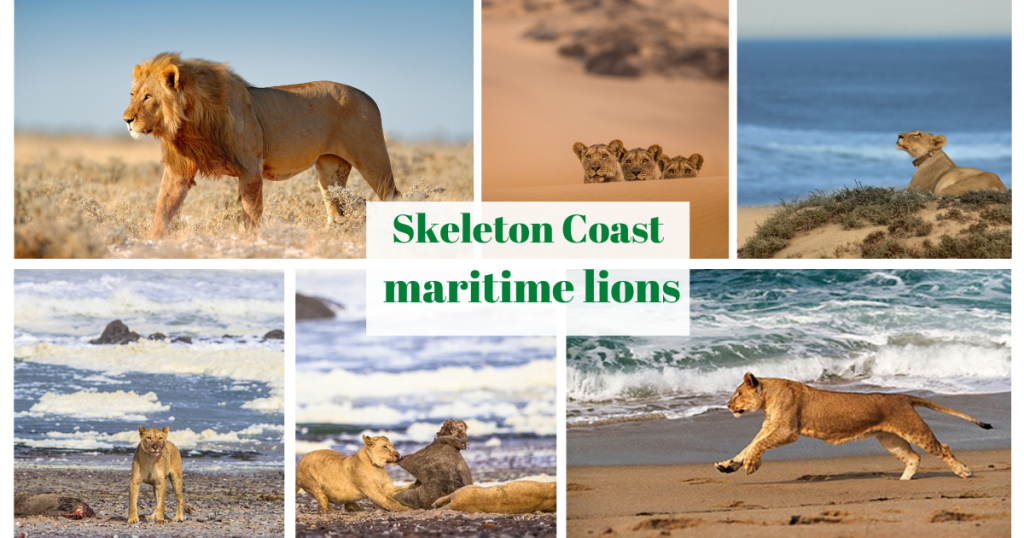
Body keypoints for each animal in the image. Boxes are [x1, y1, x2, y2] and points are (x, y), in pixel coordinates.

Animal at [123, 53, 400, 239]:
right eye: (133, 95)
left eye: (148, 96)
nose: (127, 120)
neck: (189, 123)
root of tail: (369, 97)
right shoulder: (178, 170)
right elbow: (163, 208)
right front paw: (150, 244)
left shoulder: (250, 169)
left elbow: (250, 212)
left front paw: (250, 242)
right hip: (330, 169)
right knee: (335, 208)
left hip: (372, 158)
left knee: (392, 195)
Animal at [714, 373, 992, 480]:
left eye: (738, 394)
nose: (728, 405)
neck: (769, 396)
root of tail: (901, 396)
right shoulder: (770, 427)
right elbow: (749, 445)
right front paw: (728, 465)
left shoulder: (787, 431)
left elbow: (757, 446)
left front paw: (751, 465)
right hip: (890, 439)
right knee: (913, 457)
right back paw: (902, 480)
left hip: (914, 430)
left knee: (942, 447)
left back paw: (964, 472)